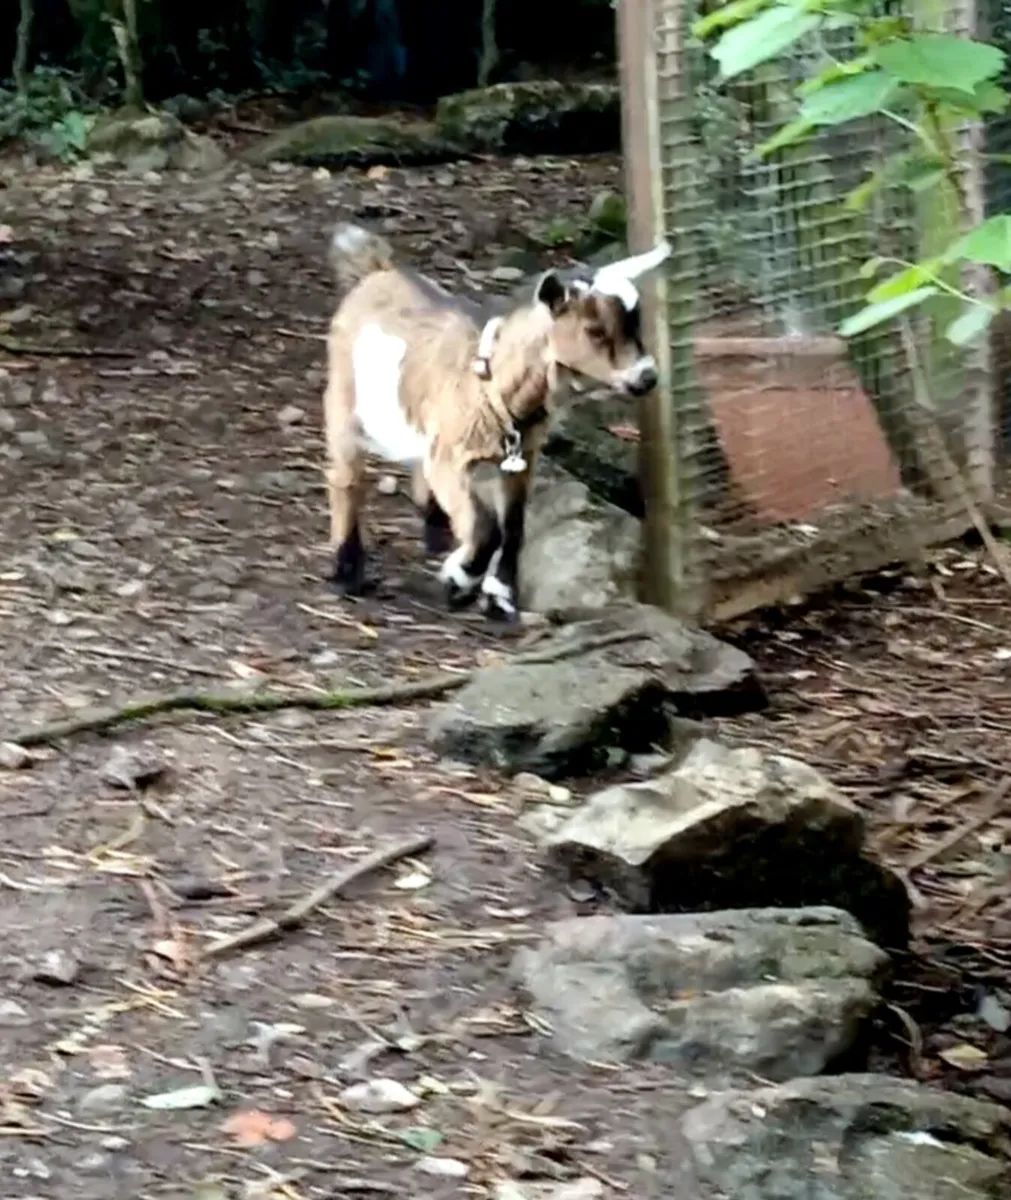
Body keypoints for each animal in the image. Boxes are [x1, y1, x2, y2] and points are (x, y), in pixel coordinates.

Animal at [322, 221, 671, 621]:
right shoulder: (450, 457)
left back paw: (436, 531)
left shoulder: (520, 460)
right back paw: (348, 571)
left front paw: (499, 595)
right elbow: (488, 527)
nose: (646, 378)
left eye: (637, 325)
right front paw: (460, 580)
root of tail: (376, 270)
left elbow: (514, 528)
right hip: (344, 400)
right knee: (346, 479)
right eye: (595, 330)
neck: (496, 385)